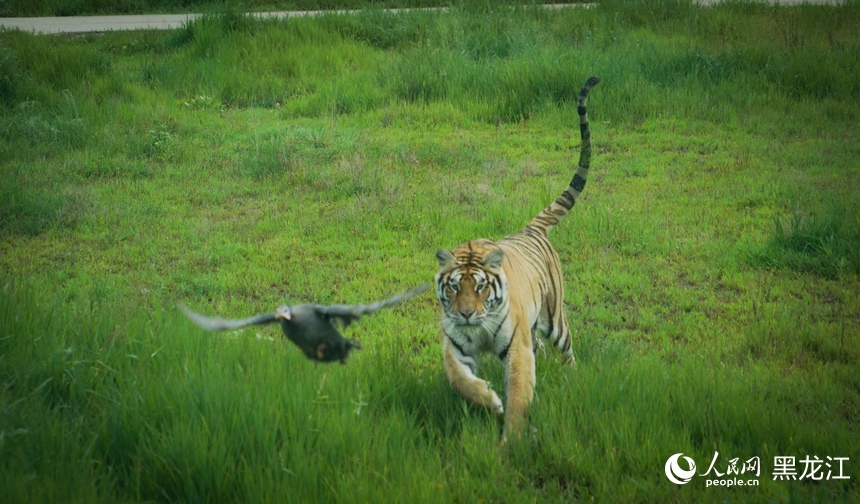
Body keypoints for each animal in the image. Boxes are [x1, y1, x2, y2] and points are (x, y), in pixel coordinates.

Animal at [434, 76, 600, 440]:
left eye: (480, 287)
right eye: (454, 287)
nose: (466, 314)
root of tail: (530, 228)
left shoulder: (517, 349)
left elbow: (520, 394)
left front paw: (511, 440)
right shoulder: (455, 345)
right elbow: (457, 377)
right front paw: (489, 400)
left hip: (554, 319)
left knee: (567, 351)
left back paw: (572, 379)